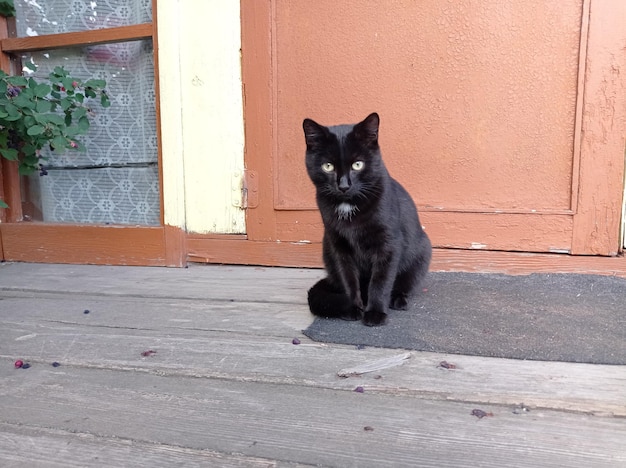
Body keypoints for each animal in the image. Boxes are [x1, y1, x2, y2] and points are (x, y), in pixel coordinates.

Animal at [302, 113, 428, 326]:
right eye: (328, 166)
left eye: (357, 164)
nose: (343, 185)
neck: (348, 206)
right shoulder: (338, 245)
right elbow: (348, 278)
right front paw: (353, 307)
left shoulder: (388, 244)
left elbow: (380, 281)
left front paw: (375, 313)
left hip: (421, 255)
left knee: (404, 283)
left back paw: (397, 299)